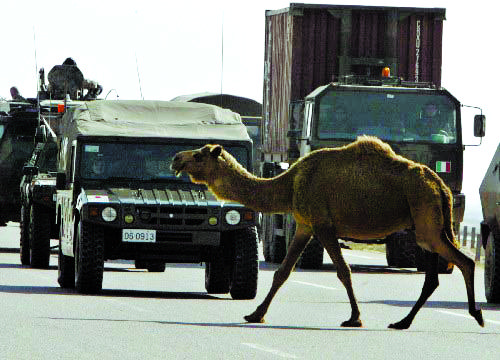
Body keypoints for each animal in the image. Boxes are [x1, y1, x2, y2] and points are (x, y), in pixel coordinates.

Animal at [170, 135, 482, 330]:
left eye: (199, 155)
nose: (176, 158)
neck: (289, 184)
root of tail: (440, 185)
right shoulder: (305, 224)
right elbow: (282, 272)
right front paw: (255, 314)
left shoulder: (323, 223)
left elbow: (343, 271)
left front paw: (355, 318)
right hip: (426, 223)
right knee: (435, 275)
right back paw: (402, 322)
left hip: (426, 217)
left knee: (464, 262)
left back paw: (475, 315)